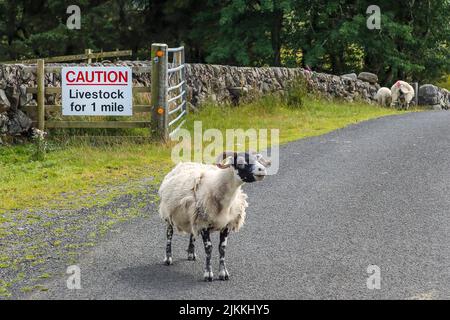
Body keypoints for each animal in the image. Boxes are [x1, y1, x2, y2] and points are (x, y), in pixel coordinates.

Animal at [158, 151, 270, 282]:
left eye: (257, 159)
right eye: (241, 163)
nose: (262, 170)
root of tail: (183, 163)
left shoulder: (225, 225)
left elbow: (222, 248)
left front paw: (223, 273)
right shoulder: (204, 224)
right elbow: (209, 249)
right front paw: (208, 274)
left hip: (193, 217)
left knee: (192, 232)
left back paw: (191, 253)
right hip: (168, 214)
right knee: (169, 234)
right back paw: (168, 258)